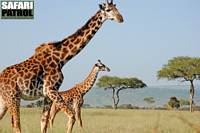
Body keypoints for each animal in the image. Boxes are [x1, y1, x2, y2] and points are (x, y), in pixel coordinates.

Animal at [0, 0, 123, 132]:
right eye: (108, 10)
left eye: (117, 8)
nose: (121, 18)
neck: (62, 58)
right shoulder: (51, 90)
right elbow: (72, 117)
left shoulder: (48, 94)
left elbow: (43, 122)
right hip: (13, 97)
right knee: (16, 124)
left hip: (4, 100)